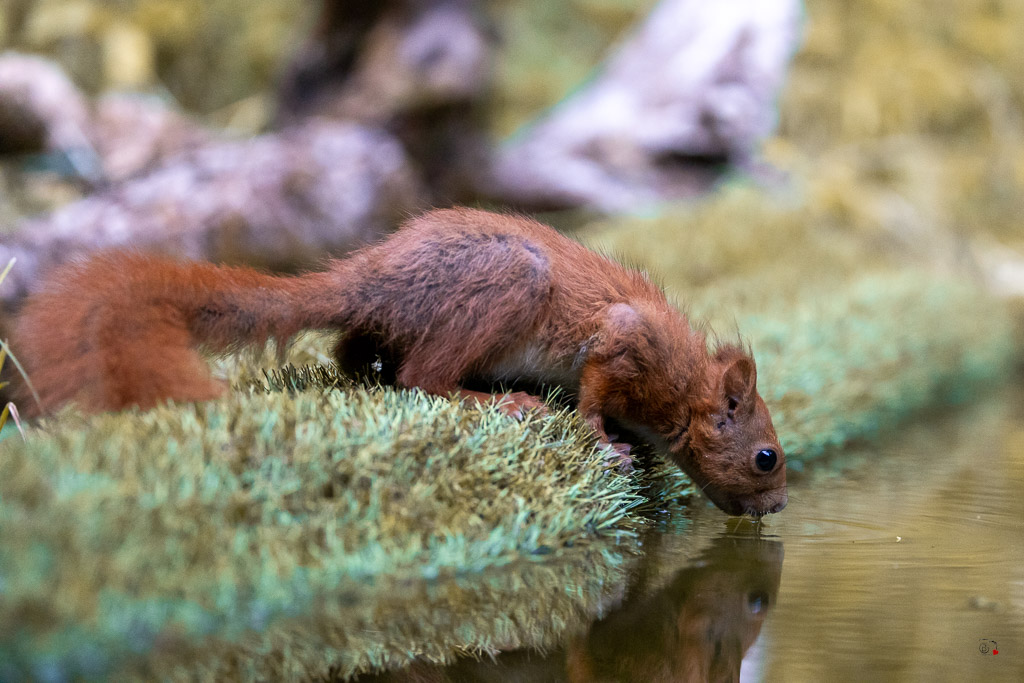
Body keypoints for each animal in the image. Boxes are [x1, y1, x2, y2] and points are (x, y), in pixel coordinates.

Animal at [14, 209, 782, 518]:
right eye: (767, 456)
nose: (777, 508)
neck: (686, 386)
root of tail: (375, 277)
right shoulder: (626, 340)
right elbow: (595, 391)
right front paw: (607, 441)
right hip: (510, 284)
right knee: (423, 377)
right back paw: (503, 400)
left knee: (356, 354)